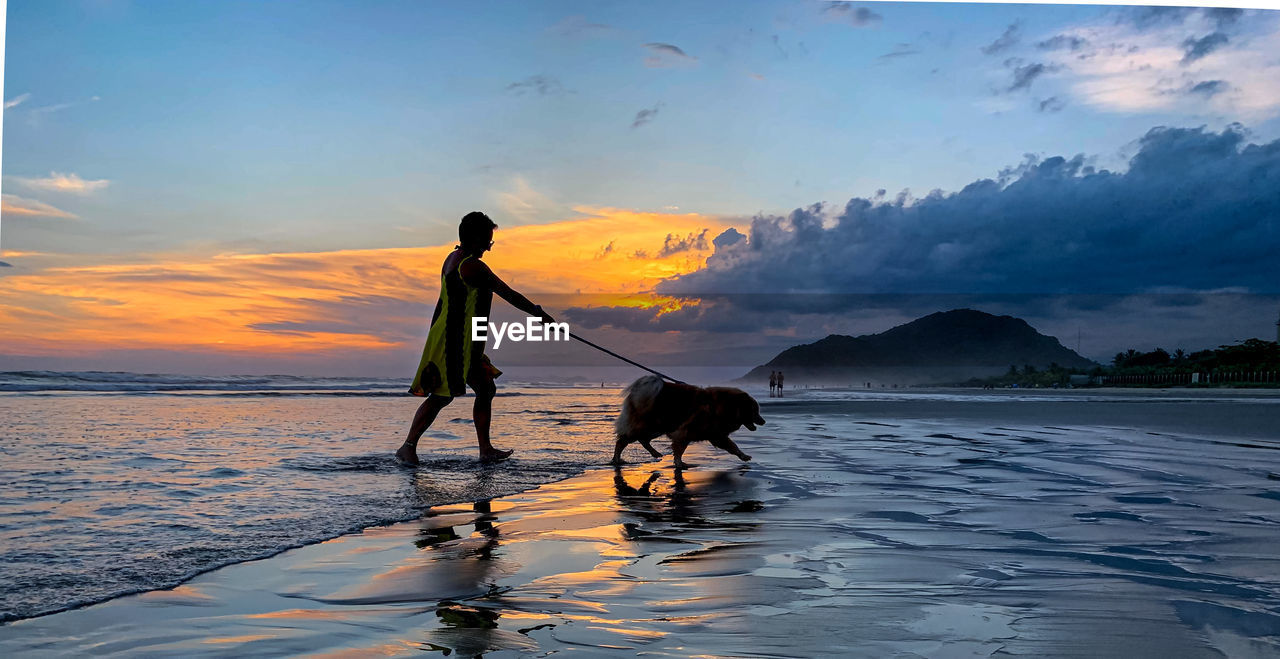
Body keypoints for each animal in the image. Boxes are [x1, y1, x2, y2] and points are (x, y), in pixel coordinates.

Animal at [606, 376, 757, 468]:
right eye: (755, 412)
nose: (762, 421)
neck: (720, 406)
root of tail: (638, 391)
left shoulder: (716, 435)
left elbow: (732, 446)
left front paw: (743, 456)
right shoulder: (686, 432)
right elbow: (679, 450)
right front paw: (679, 463)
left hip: (658, 426)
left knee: (643, 439)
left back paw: (655, 453)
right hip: (650, 425)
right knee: (623, 441)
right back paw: (617, 459)